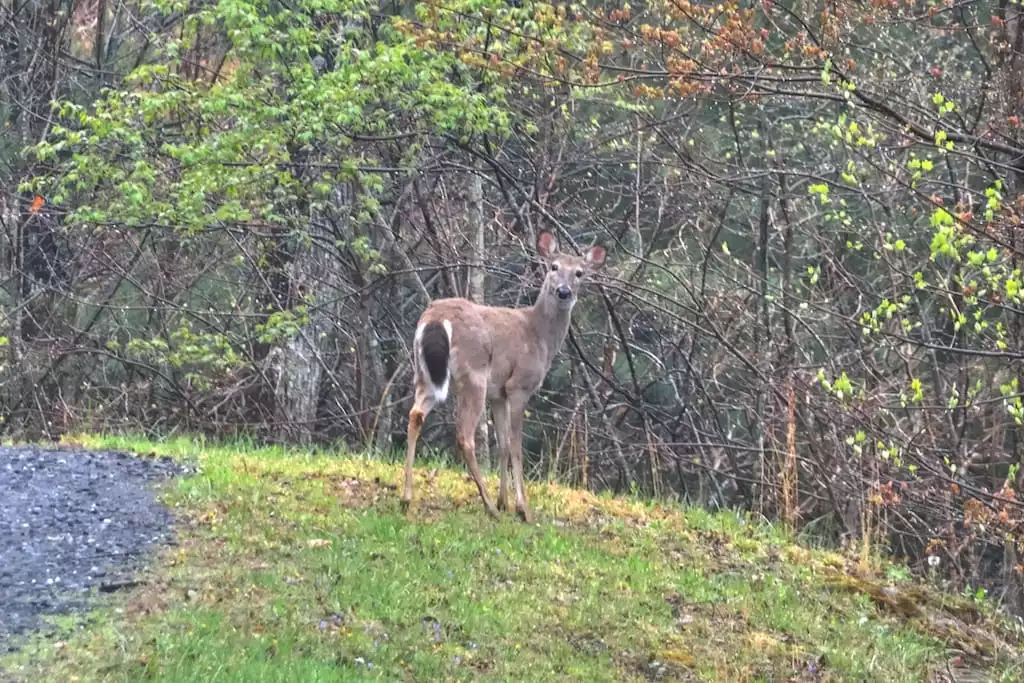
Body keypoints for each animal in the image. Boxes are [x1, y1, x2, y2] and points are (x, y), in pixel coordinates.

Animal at [401, 231, 606, 524]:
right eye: (553, 267)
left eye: (579, 272)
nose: (564, 291)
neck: (540, 336)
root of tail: (435, 318)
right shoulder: (518, 385)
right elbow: (517, 445)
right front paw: (522, 509)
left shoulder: (498, 394)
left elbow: (503, 445)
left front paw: (505, 500)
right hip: (473, 374)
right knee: (465, 435)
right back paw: (489, 507)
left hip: (425, 372)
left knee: (415, 414)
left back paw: (406, 498)